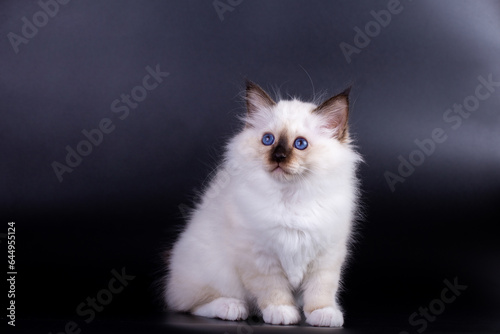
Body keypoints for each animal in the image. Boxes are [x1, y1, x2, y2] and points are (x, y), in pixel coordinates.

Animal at [166, 80, 362, 326]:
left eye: (300, 144)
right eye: (268, 140)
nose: (278, 157)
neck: (291, 198)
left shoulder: (326, 255)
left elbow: (321, 290)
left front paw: (323, 314)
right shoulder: (259, 257)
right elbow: (273, 290)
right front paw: (282, 313)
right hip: (214, 271)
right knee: (190, 304)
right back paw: (232, 308)